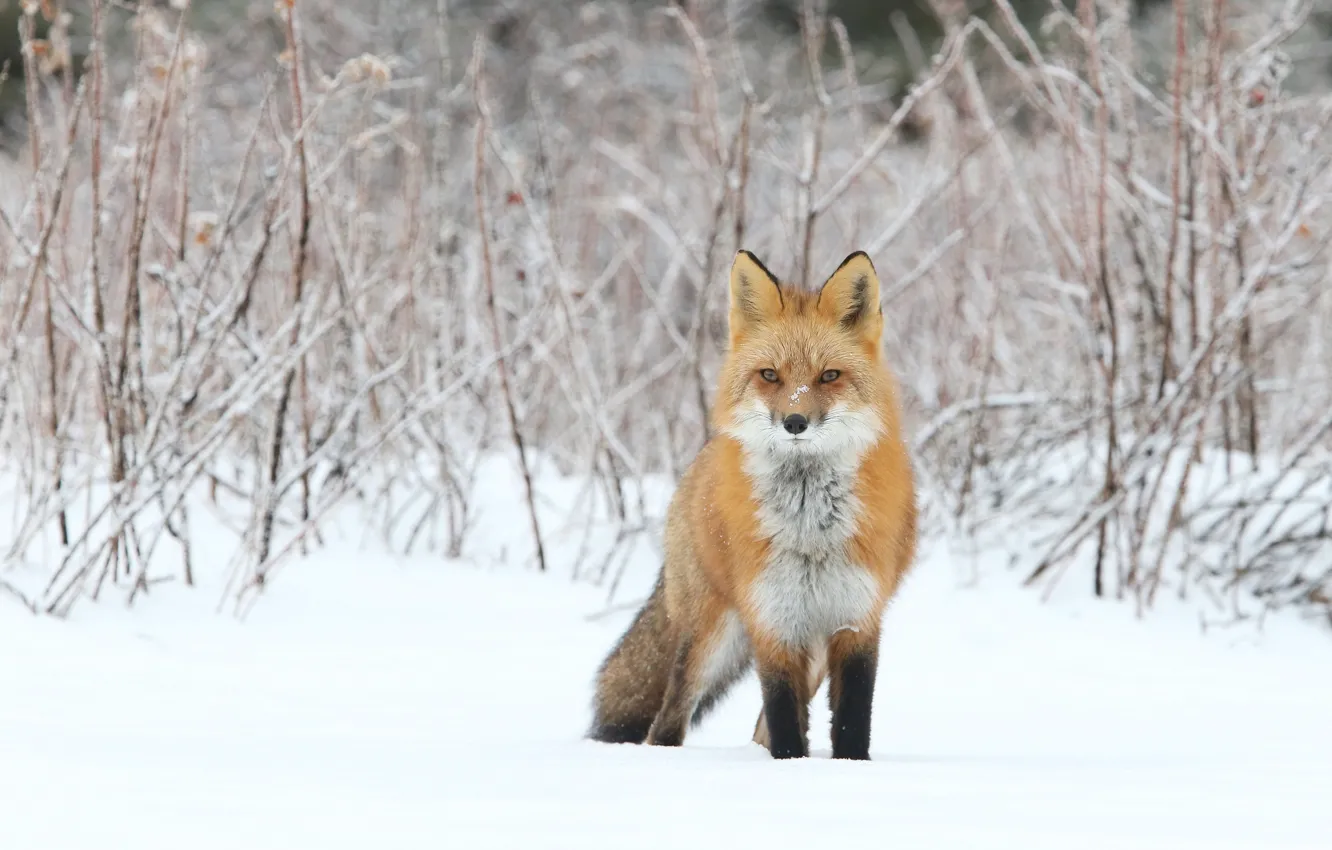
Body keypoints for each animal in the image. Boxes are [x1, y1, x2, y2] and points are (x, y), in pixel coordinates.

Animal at [587, 248, 918, 760]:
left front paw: (850, 768)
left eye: (829, 375)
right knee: (667, 723)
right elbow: (785, 723)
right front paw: (787, 768)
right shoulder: (773, 624)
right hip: (711, 637)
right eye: (769, 375)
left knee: (757, 729)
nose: (795, 421)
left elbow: (850, 722)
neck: (809, 531)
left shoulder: (856, 621)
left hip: (810, 651)